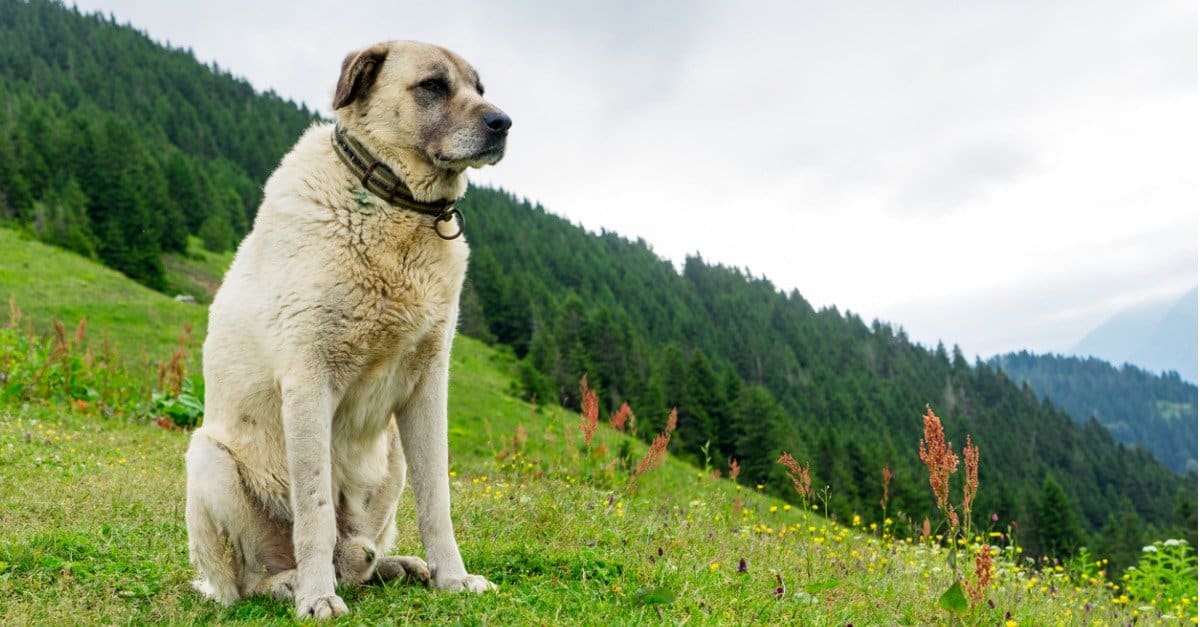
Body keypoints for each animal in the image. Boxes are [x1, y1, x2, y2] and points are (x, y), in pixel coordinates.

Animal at [183, 41, 511, 614]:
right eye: (432, 86)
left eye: (479, 88)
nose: (504, 123)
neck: (395, 206)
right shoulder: (309, 381)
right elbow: (314, 512)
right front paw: (316, 598)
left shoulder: (429, 386)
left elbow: (437, 501)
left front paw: (453, 578)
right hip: (208, 459)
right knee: (244, 583)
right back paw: (290, 583)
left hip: (392, 457)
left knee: (358, 556)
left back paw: (395, 566)